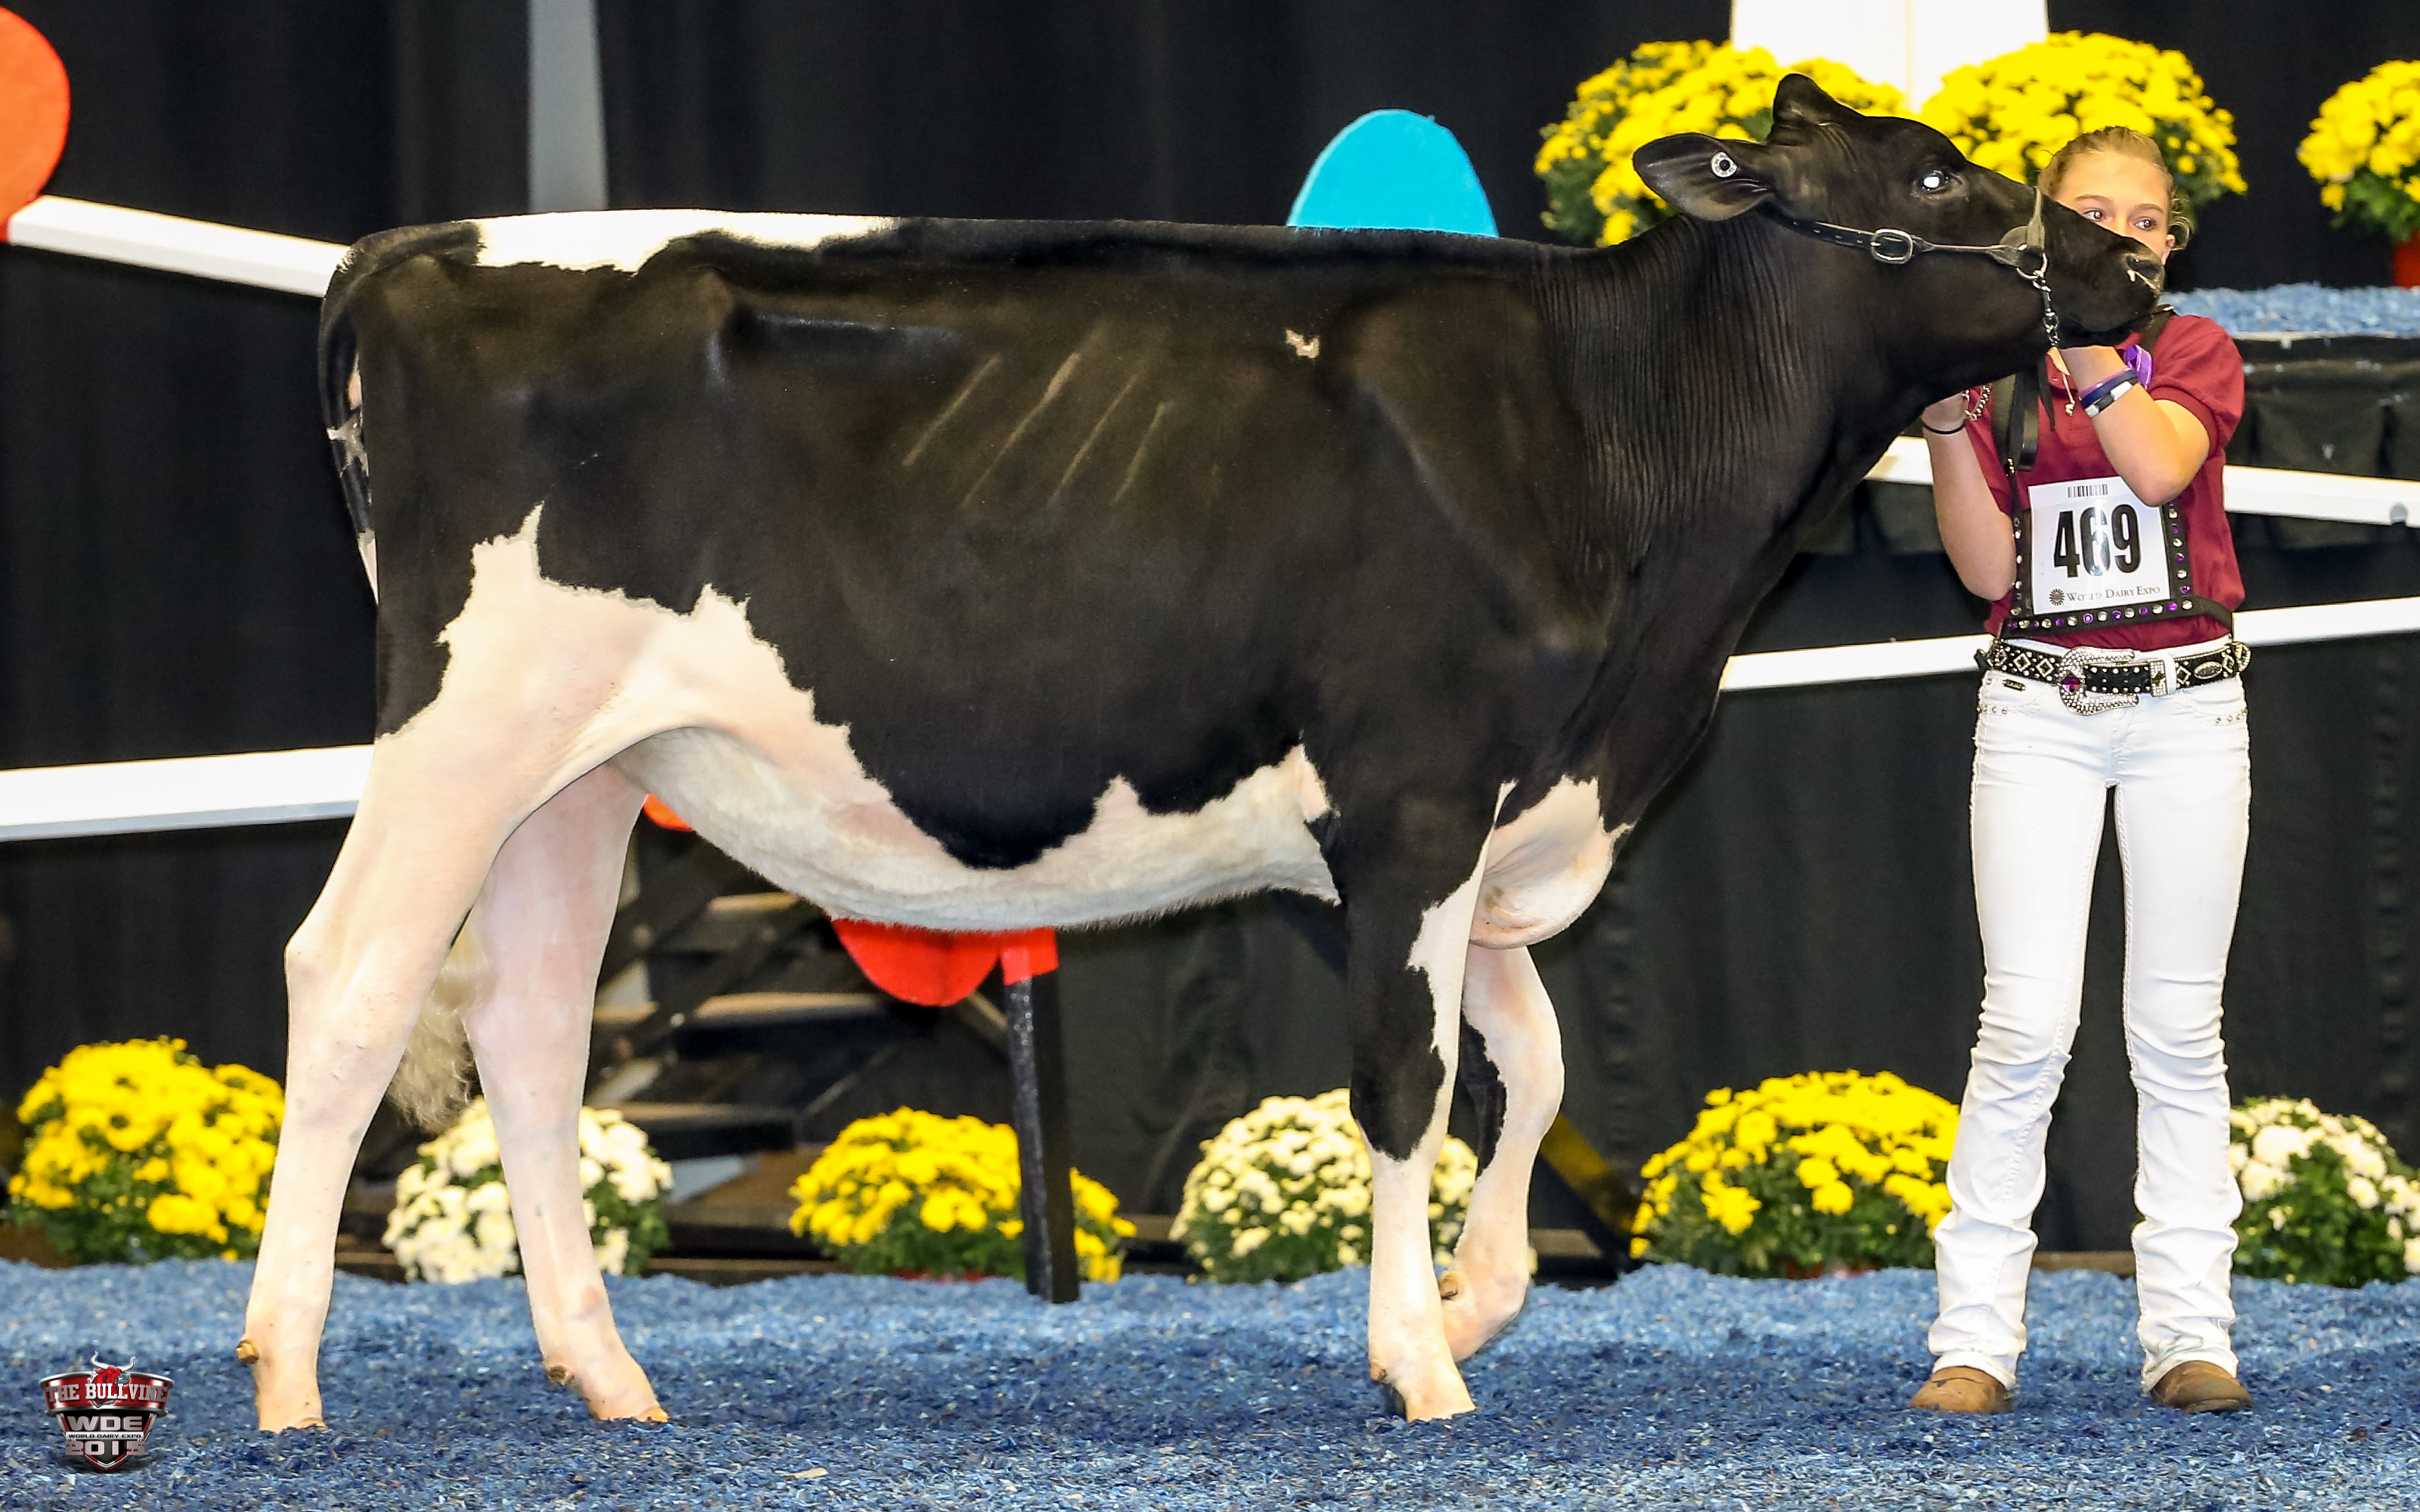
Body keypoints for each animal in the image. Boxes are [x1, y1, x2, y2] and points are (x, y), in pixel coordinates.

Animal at [237, 76, 2159, 1431]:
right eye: (1935, 179)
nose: (2133, 263)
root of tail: (411, 252)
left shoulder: (1470, 822)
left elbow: (1532, 1067)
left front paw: (1476, 1296)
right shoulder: (1411, 798)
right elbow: (1409, 1078)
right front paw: (1419, 1359)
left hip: (577, 771)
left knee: (529, 1026)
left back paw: (610, 1376)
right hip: (468, 721)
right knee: (350, 977)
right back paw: (288, 1372)